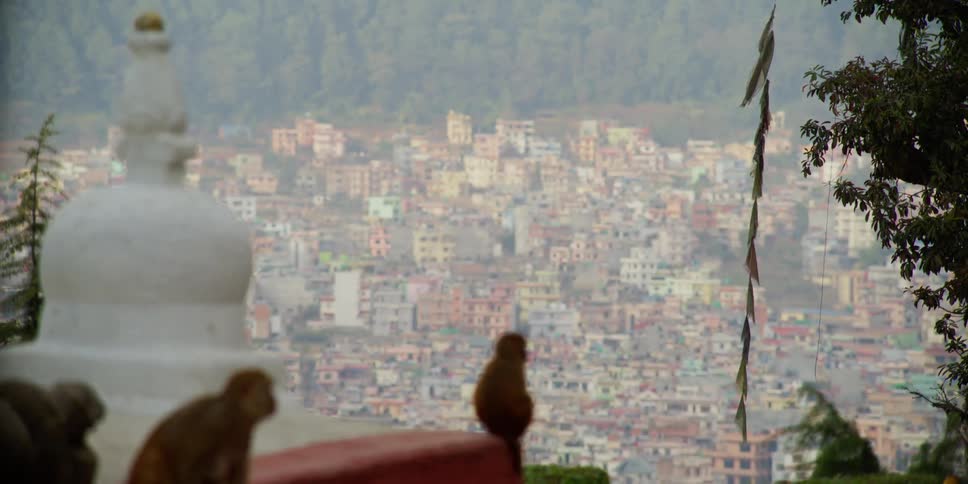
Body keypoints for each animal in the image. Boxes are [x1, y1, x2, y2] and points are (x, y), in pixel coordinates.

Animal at [473, 332, 534, 476]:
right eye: (523, 348)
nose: (526, 354)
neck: (504, 357)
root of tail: (500, 430)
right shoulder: (517, 370)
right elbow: (521, 399)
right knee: (527, 401)